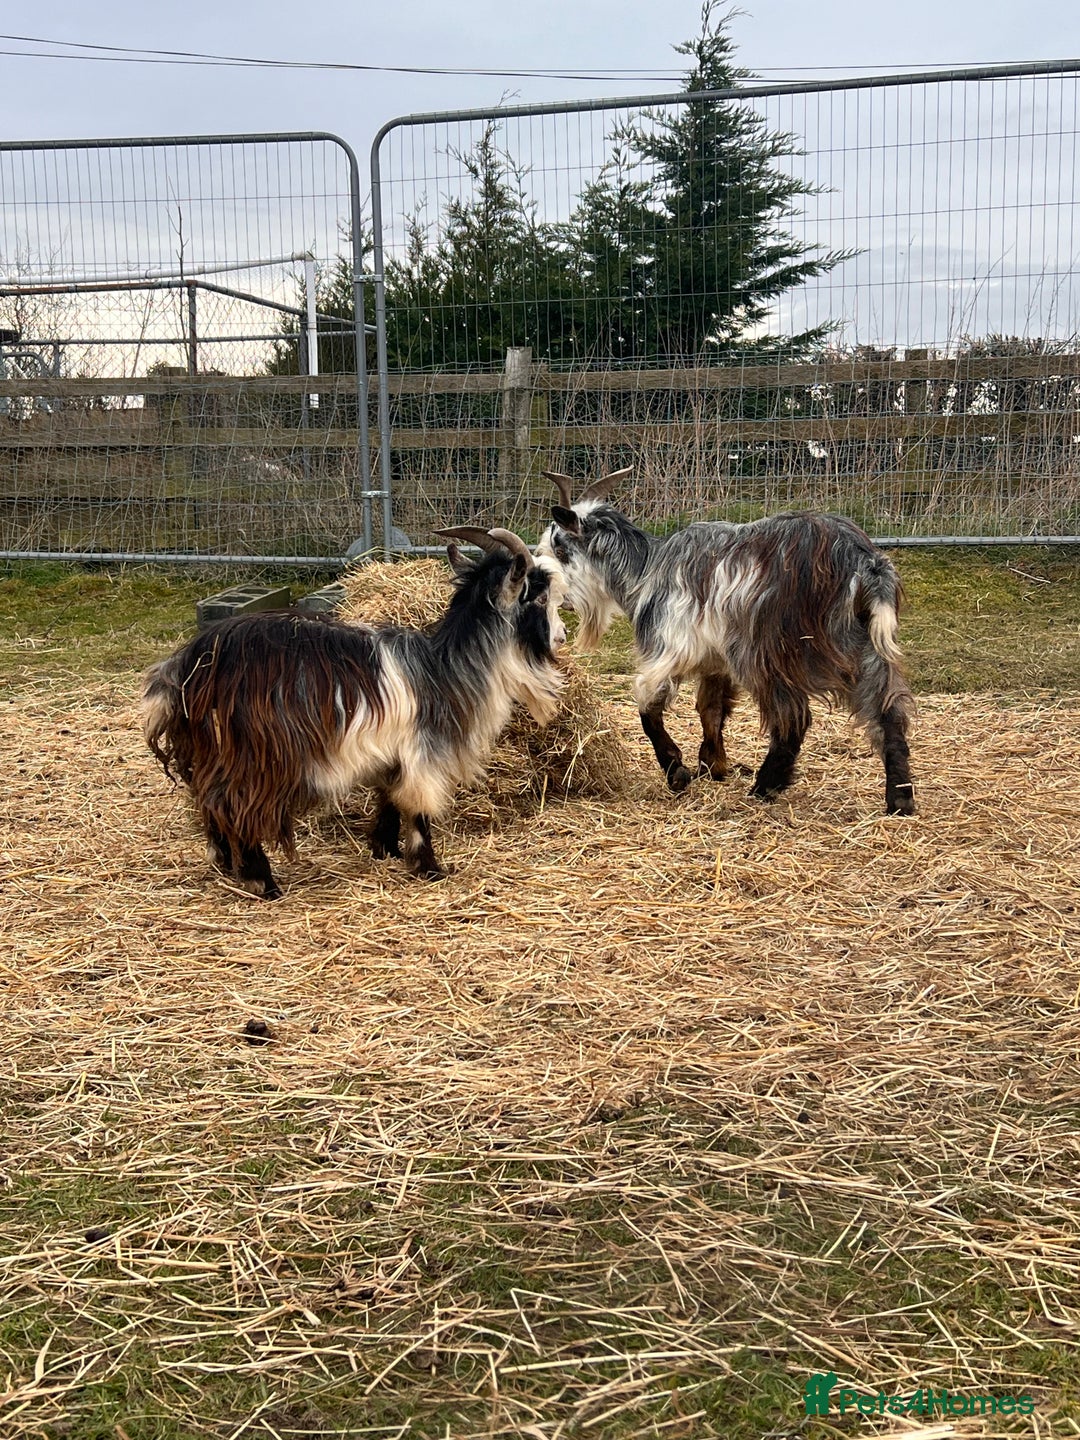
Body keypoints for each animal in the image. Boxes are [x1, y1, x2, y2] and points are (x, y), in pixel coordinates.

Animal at [142, 528, 567, 898]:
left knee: (208, 800)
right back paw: (262, 881)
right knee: (234, 806)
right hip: (252, 755)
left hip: (208, 749)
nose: (560, 637)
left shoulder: (389, 754)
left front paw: (385, 849)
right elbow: (419, 808)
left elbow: (389, 799)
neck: (441, 669)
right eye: (539, 599)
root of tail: (189, 667)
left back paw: (225, 863)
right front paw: (429, 866)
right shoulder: (422, 752)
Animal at [537, 469, 915, 815]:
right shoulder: (715, 661)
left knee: (793, 718)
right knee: (888, 713)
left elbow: (648, 706)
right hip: (864, 648)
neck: (646, 570)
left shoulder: (669, 647)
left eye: (559, 548)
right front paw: (713, 764)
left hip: (766, 651)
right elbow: (712, 709)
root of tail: (863, 563)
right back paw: (900, 798)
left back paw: (765, 787)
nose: (553, 595)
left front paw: (677, 771)